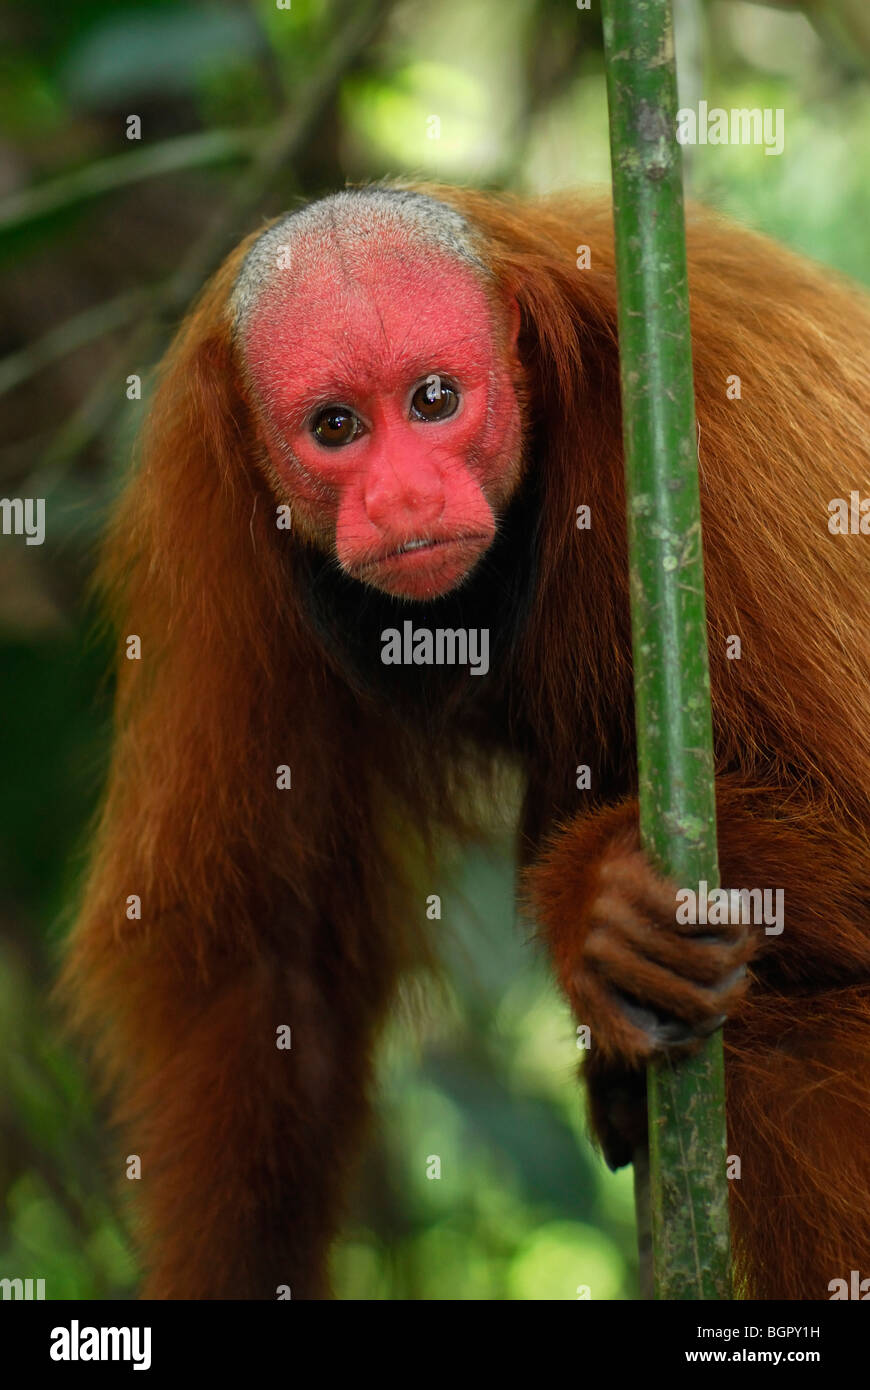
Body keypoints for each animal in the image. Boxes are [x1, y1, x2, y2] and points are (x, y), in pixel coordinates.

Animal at [64, 182, 870, 1301]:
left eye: (435, 400)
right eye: (336, 427)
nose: (404, 497)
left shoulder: (732, 462)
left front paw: (597, 902)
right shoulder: (216, 523)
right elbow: (265, 968)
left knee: (786, 1043)